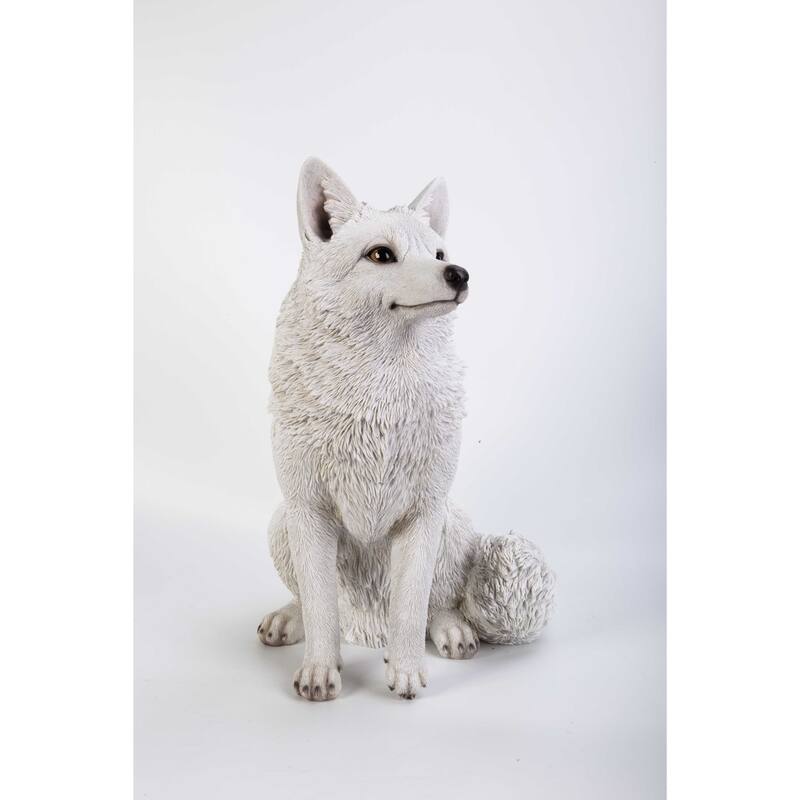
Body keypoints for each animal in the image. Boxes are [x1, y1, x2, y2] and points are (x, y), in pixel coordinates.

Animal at [258, 158, 554, 700]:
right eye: (381, 255)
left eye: (438, 254)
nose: (459, 273)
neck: (380, 389)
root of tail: (366, 628)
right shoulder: (309, 510)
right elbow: (320, 604)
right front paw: (320, 670)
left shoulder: (422, 513)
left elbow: (412, 605)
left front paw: (407, 670)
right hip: (281, 522)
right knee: (318, 605)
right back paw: (291, 620)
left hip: (452, 523)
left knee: (438, 603)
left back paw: (446, 630)